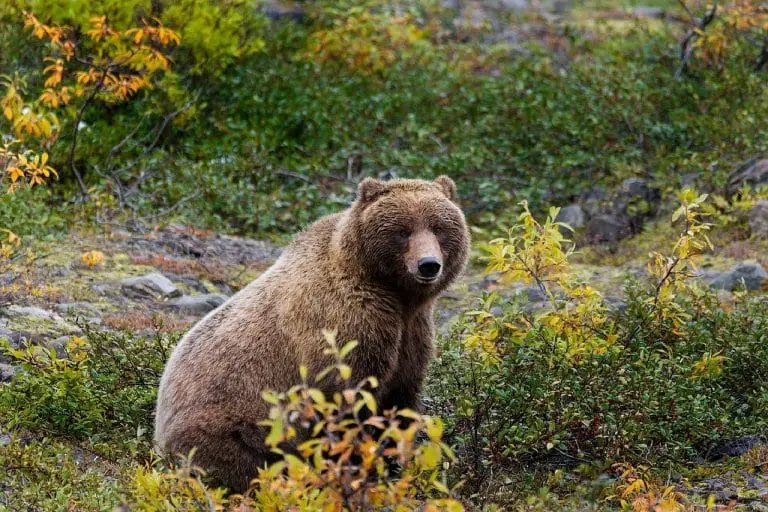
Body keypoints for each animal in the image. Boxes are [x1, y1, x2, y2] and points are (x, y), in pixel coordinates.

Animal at [154, 176, 472, 492]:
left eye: (439, 228)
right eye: (403, 231)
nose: (428, 264)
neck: (394, 294)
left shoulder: (412, 334)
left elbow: (400, 401)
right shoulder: (345, 326)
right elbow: (346, 402)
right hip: (232, 425)